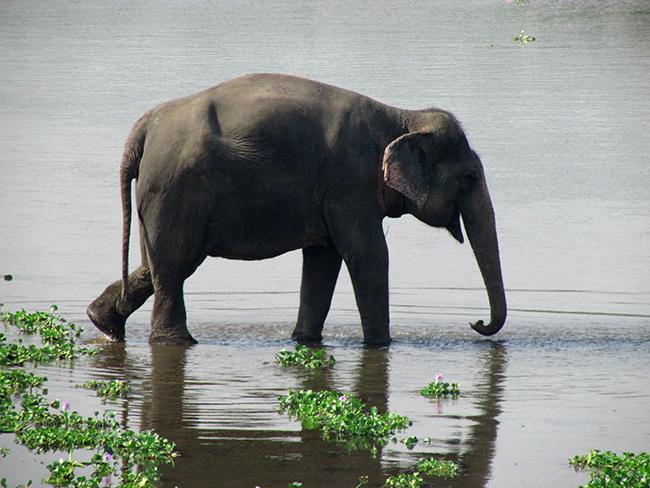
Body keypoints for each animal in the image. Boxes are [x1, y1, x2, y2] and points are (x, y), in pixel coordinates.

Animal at [85, 72, 506, 346]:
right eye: (469, 176)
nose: (476, 322)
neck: (403, 116)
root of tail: (143, 129)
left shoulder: (334, 193)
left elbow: (323, 259)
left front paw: (304, 339)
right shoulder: (351, 182)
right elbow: (368, 254)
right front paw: (380, 345)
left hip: (160, 195)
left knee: (155, 266)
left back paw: (103, 323)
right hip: (178, 188)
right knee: (175, 267)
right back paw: (176, 342)